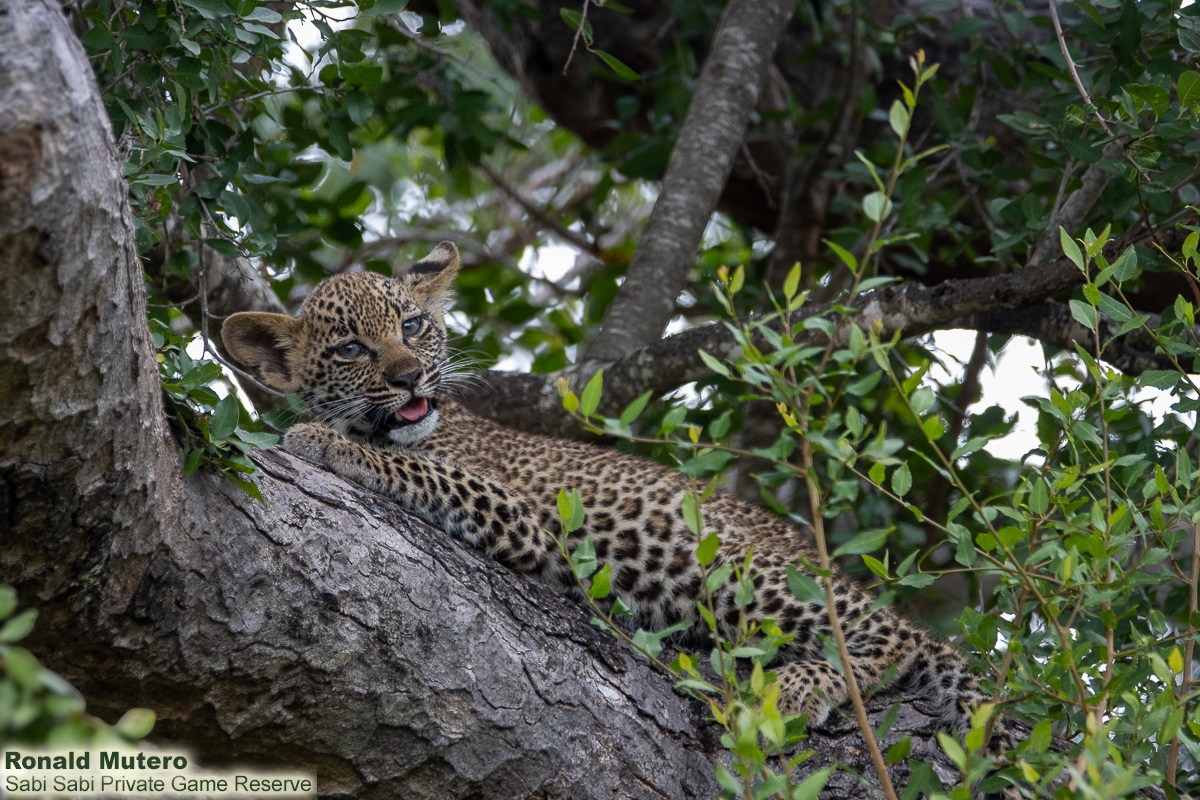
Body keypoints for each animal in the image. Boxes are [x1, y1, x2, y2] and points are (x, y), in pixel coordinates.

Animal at [222, 241, 989, 732]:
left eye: (413, 326)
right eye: (352, 348)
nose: (410, 377)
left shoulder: (521, 515)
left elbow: (416, 468)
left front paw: (321, 441)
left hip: (733, 566)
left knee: (894, 639)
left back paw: (809, 682)